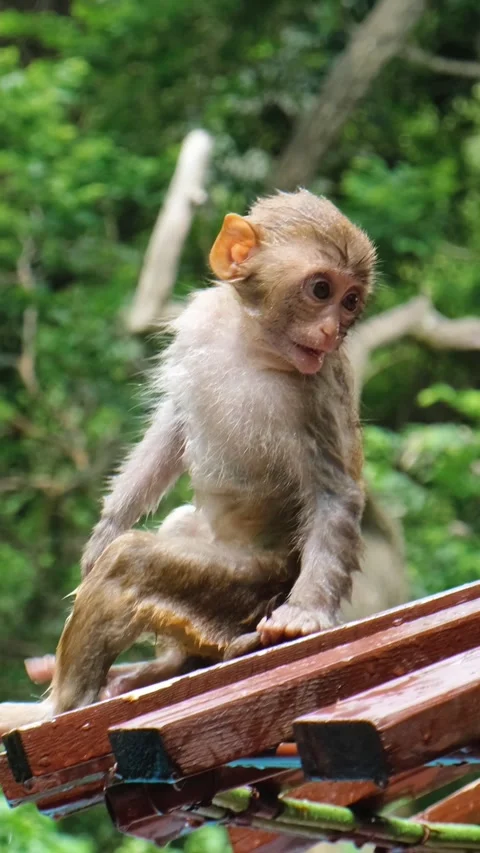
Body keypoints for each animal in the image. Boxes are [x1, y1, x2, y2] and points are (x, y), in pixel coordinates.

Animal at [0, 189, 376, 730]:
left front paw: (306, 613)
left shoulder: (319, 389)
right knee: (177, 525)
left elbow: (333, 491)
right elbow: (174, 426)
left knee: (134, 565)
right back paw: (159, 666)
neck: (252, 344)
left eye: (350, 302)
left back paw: (62, 704)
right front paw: (106, 529)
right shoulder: (201, 327)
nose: (331, 331)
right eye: (322, 289)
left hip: (255, 581)